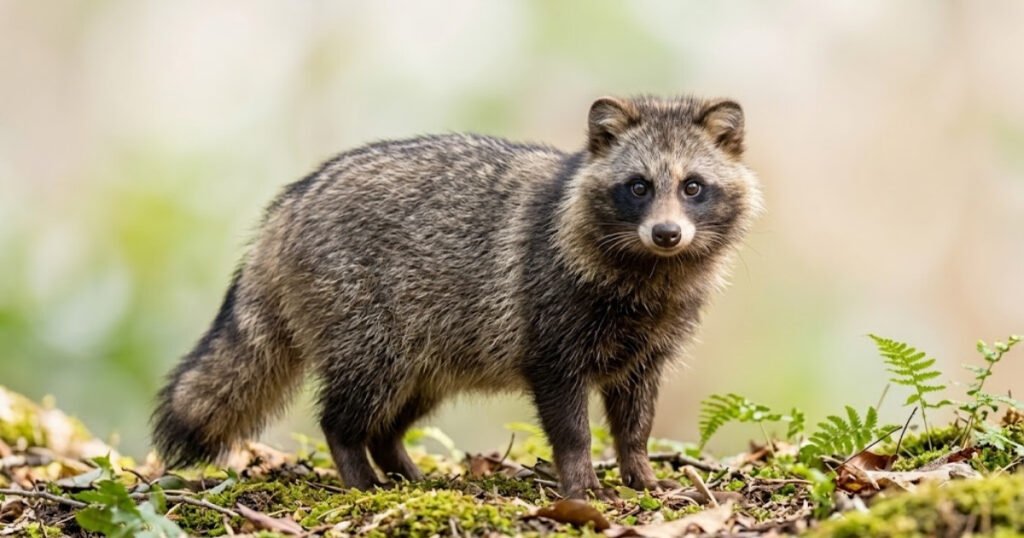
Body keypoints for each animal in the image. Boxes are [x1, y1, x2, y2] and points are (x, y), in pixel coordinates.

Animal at [151, 96, 761, 498]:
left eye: (692, 187)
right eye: (638, 186)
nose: (667, 234)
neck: (650, 273)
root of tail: (293, 201)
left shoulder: (648, 347)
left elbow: (636, 421)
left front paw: (640, 473)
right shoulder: (551, 335)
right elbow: (570, 429)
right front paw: (582, 483)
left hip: (430, 357)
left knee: (392, 419)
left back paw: (399, 465)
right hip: (367, 326)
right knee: (347, 414)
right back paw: (359, 469)